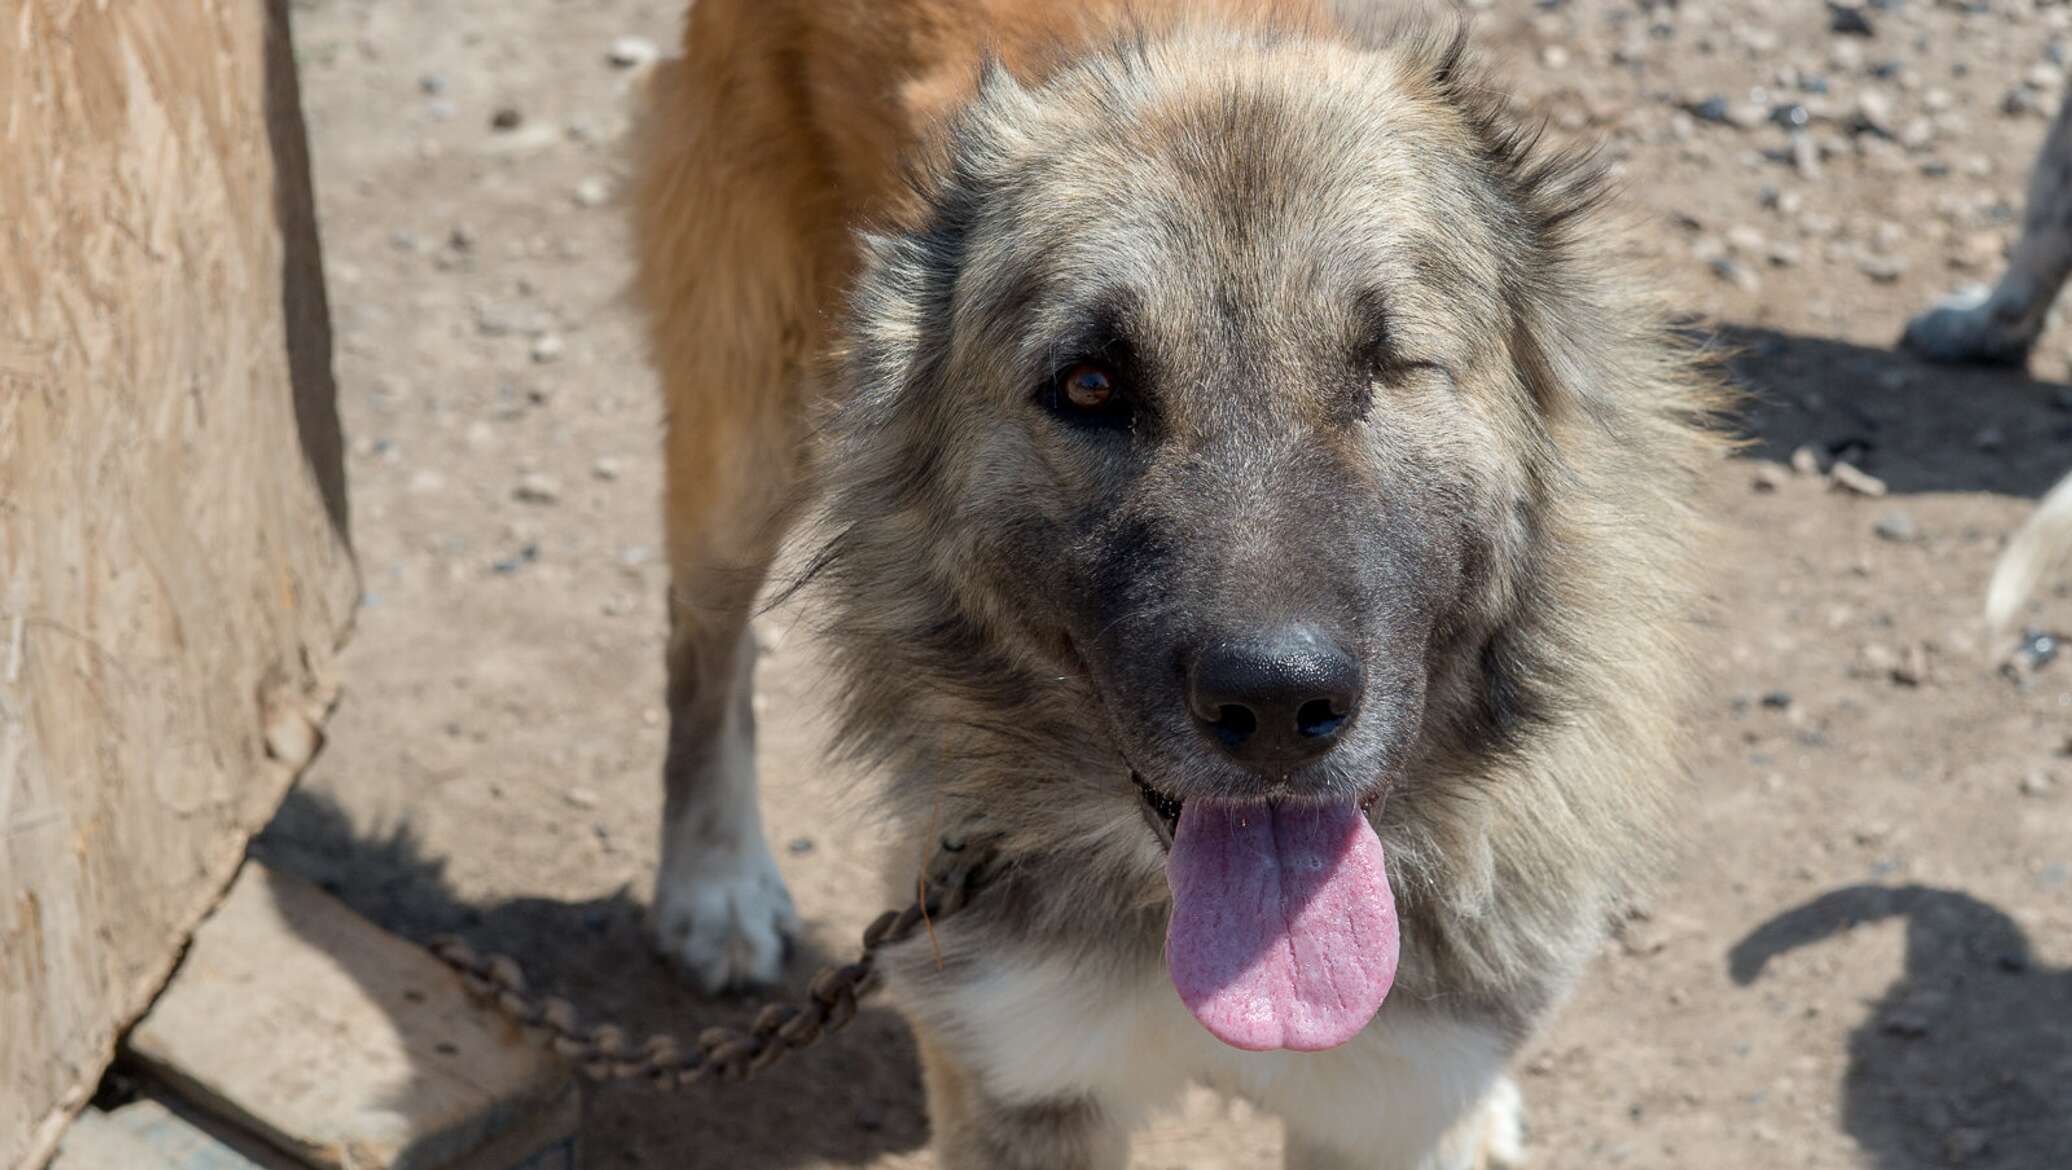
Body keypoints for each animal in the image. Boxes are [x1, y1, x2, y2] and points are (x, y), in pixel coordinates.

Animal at [621, 4, 1723, 1159]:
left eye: (1386, 367)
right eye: (1089, 385)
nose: (1275, 703)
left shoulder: (1399, 1105)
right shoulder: (1018, 1076)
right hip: (746, 445)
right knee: (703, 641)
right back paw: (712, 880)